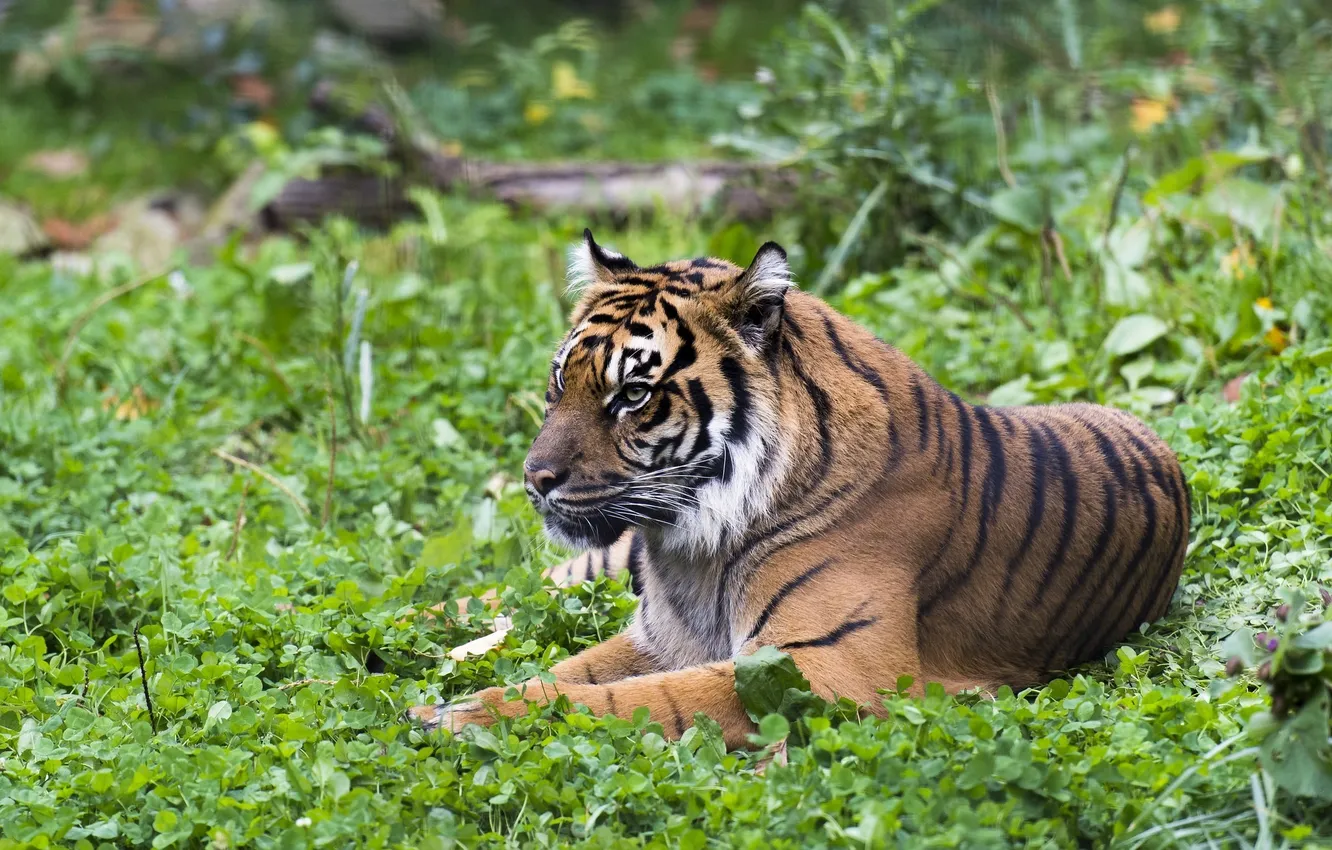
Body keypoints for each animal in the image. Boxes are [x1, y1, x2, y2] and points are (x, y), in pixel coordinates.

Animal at [408, 230, 1190, 749]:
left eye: (633, 394)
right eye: (558, 383)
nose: (535, 479)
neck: (690, 547)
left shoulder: (828, 667)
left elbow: (633, 699)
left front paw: (466, 715)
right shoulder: (658, 635)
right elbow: (574, 669)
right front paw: (452, 700)